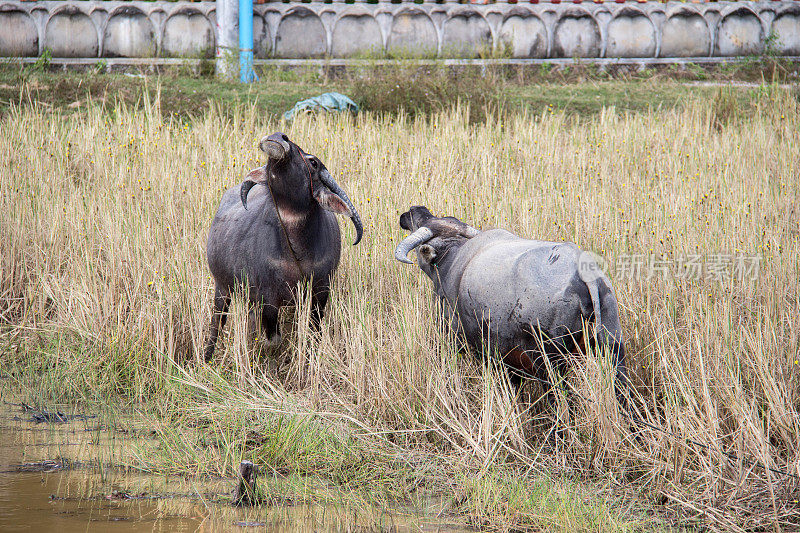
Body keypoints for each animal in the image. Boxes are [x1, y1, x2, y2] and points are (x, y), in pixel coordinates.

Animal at [203, 132, 362, 362]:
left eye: (313, 162)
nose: (278, 137)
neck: (299, 251)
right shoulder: (268, 298)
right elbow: (273, 340)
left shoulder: (320, 291)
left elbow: (314, 332)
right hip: (221, 287)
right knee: (217, 322)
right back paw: (207, 357)